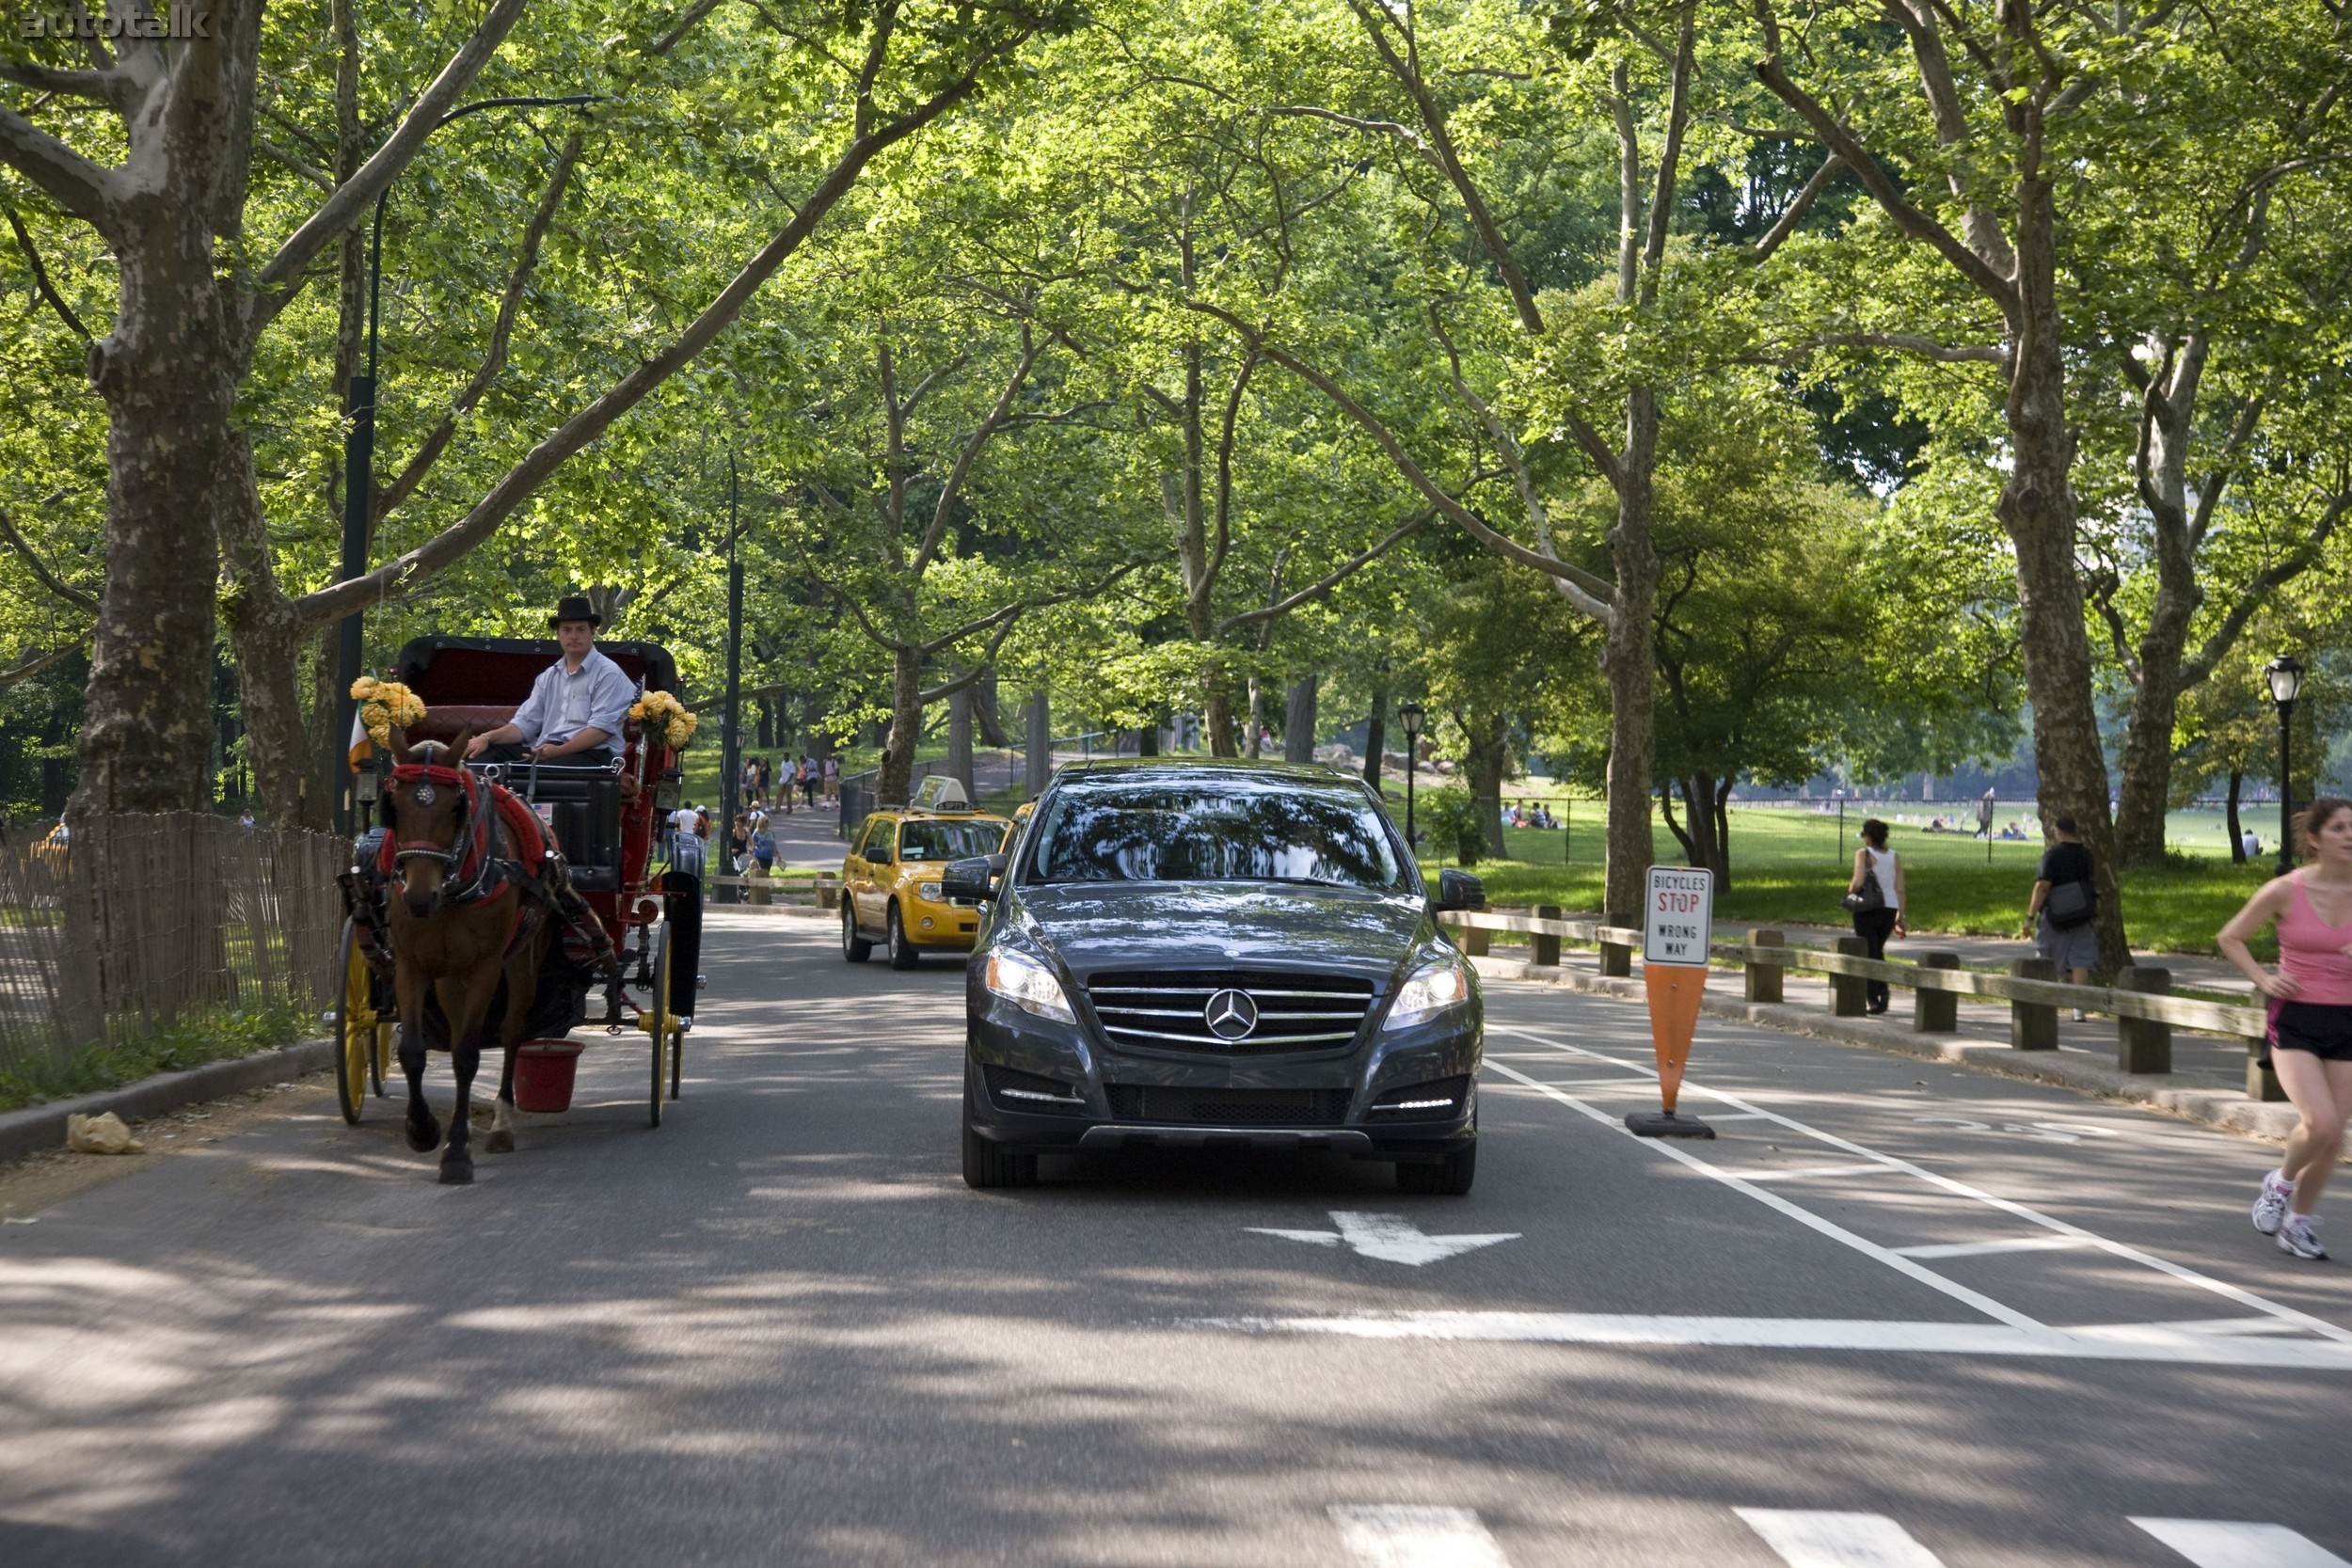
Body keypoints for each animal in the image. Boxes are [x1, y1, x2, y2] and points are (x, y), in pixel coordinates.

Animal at [383, 728, 552, 1184]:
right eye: (394, 806)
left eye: (454, 808)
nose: (419, 898)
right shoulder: (411, 965)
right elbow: (413, 1051)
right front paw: (422, 1129)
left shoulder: (485, 969)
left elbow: (466, 1056)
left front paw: (457, 1152)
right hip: (447, 975)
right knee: (458, 1026)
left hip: (521, 958)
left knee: (511, 1032)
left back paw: (501, 1124)